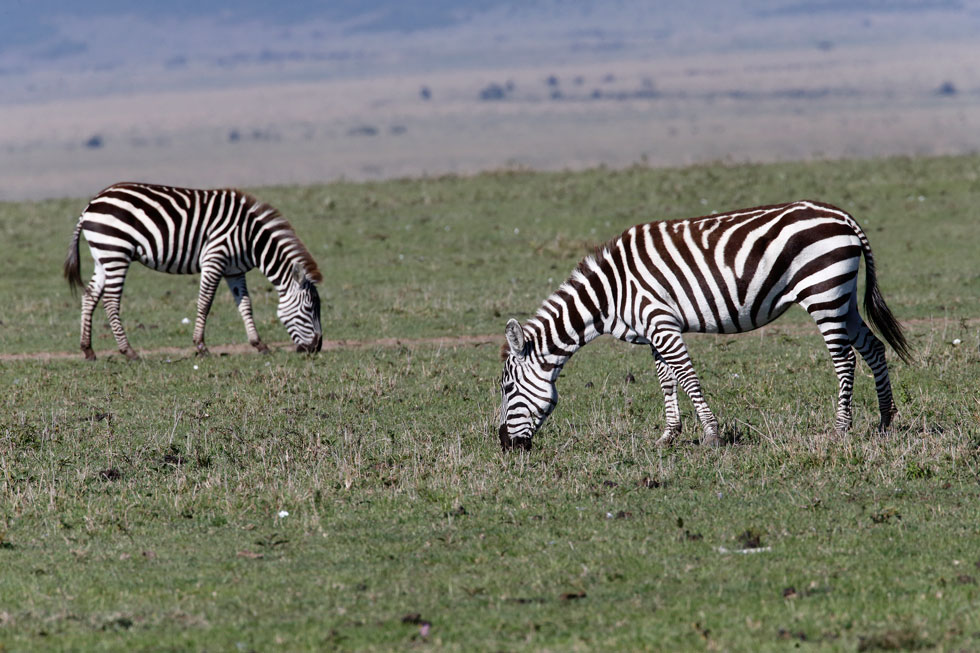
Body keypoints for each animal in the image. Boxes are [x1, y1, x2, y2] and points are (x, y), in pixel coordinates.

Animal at [63, 181, 324, 360]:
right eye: (309, 309)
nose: (316, 348)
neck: (252, 239)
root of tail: (90, 205)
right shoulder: (214, 258)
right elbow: (205, 302)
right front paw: (201, 346)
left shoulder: (234, 270)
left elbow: (245, 305)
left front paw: (259, 344)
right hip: (116, 252)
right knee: (110, 301)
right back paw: (128, 351)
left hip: (103, 256)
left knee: (89, 296)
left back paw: (88, 350)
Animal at [502, 201, 916, 450]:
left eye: (507, 389)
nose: (505, 445)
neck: (611, 292)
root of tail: (843, 216)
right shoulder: (654, 331)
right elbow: (667, 381)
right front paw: (669, 436)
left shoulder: (661, 323)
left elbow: (687, 378)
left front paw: (712, 435)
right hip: (841, 297)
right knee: (873, 347)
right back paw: (885, 420)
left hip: (823, 292)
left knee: (845, 359)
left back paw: (841, 428)